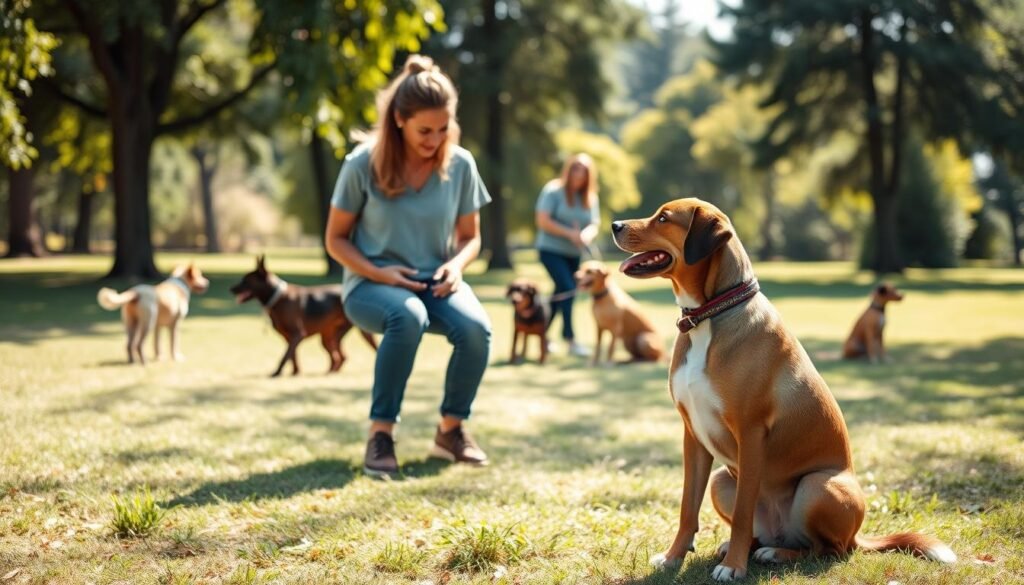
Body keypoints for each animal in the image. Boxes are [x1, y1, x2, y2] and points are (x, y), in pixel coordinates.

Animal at [230, 257, 378, 377]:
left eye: (246, 280)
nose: (231, 289)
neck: (278, 298)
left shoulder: (297, 334)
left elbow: (285, 356)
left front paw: (277, 373)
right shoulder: (288, 337)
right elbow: (292, 356)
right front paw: (295, 372)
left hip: (352, 334)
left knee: (350, 355)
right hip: (328, 337)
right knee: (340, 357)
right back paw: (329, 373)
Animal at [606, 200, 950, 581]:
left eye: (664, 218)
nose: (615, 225)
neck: (709, 315)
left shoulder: (751, 434)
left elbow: (743, 514)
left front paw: (733, 568)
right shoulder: (693, 437)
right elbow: (687, 510)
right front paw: (672, 558)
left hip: (817, 487)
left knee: (827, 550)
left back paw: (773, 554)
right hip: (721, 480)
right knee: (779, 537)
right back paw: (747, 547)